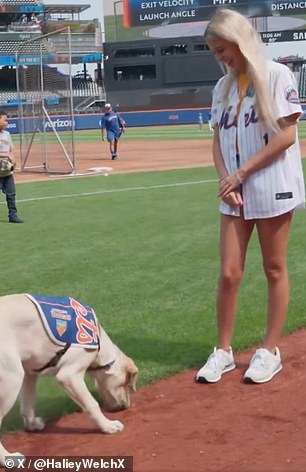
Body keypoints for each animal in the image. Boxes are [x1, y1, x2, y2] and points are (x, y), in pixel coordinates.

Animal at [0, 296, 137, 464]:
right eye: (126, 384)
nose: (126, 407)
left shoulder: (30, 373)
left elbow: (28, 403)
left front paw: (31, 425)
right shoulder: (69, 375)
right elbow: (92, 404)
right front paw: (107, 426)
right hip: (12, 380)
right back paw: (7, 458)